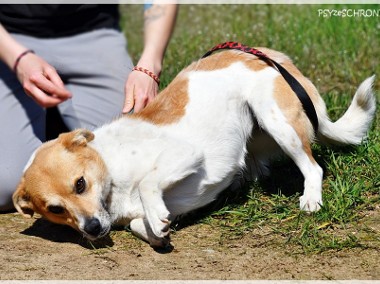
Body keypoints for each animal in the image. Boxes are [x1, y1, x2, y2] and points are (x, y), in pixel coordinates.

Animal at [13, 47, 376, 247]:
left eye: (80, 184)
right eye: (55, 209)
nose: (91, 229)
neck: (111, 172)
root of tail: (260, 53)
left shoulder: (185, 154)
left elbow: (147, 183)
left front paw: (154, 214)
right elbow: (141, 223)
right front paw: (157, 227)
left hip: (277, 121)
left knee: (313, 167)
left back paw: (311, 197)